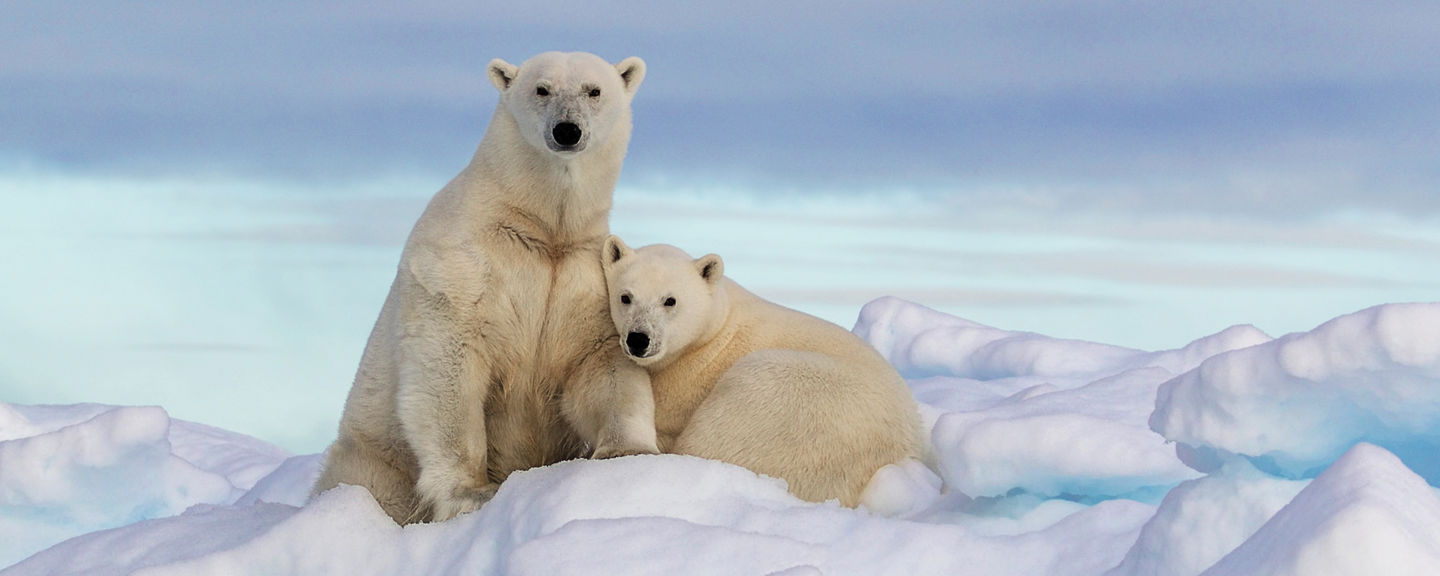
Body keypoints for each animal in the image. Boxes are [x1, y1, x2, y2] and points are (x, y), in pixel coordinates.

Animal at [311, 52, 657, 524]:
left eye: (594, 90)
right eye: (541, 89)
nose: (567, 130)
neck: (540, 228)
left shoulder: (585, 280)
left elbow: (602, 364)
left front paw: (627, 453)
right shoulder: (461, 266)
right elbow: (449, 365)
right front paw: (473, 492)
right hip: (376, 455)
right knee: (372, 483)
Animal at [598, 236, 927, 506]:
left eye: (670, 300)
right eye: (626, 296)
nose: (638, 339)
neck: (714, 330)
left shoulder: (687, 379)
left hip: (788, 400)